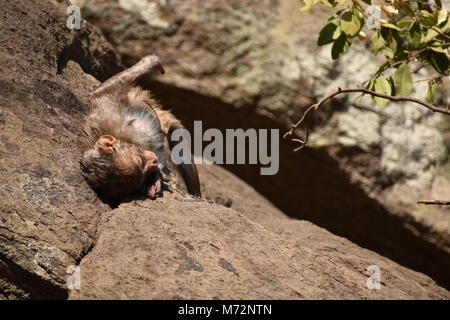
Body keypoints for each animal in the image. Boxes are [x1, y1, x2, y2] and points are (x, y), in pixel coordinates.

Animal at [80, 55, 201, 200]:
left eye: (140, 160)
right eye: (142, 173)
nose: (153, 162)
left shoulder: (107, 109)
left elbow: (105, 90)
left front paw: (152, 62)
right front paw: (155, 179)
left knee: (176, 138)